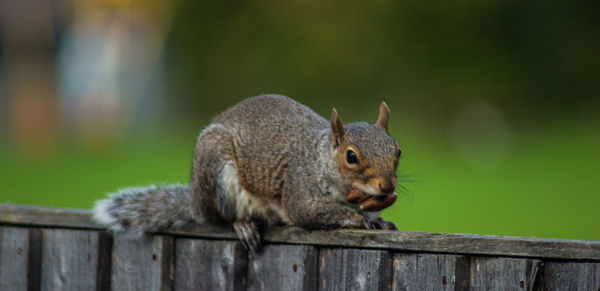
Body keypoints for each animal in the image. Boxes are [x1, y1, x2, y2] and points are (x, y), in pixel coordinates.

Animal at [94, 94, 400, 253]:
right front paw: (361, 220)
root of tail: (195, 201)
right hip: (218, 173)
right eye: (351, 157)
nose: (387, 186)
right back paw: (243, 225)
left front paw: (377, 218)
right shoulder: (300, 185)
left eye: (398, 150)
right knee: (221, 217)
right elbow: (308, 211)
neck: (321, 159)